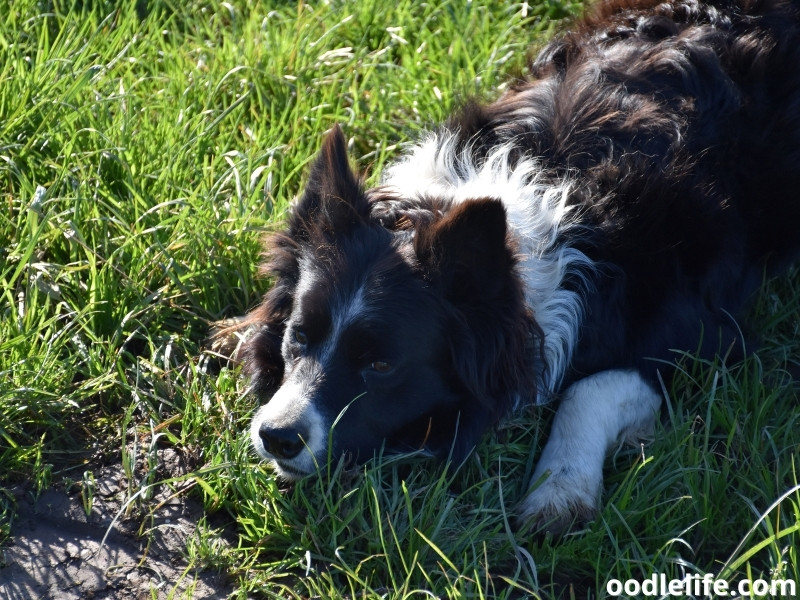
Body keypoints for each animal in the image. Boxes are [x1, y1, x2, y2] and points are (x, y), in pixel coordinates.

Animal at [217, 0, 800, 528]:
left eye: (381, 366)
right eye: (298, 335)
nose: (277, 437)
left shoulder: (706, 336)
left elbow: (589, 388)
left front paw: (559, 491)